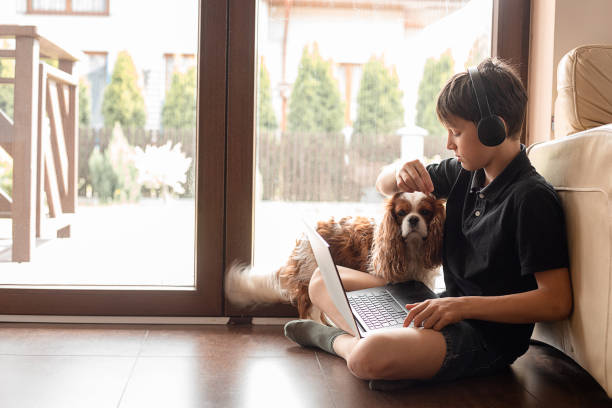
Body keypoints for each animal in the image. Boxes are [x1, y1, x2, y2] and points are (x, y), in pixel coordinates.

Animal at [225, 191, 444, 322]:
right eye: (401, 213)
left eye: (425, 212)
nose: (413, 219)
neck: (412, 249)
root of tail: (304, 236)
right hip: (312, 274)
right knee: (310, 310)